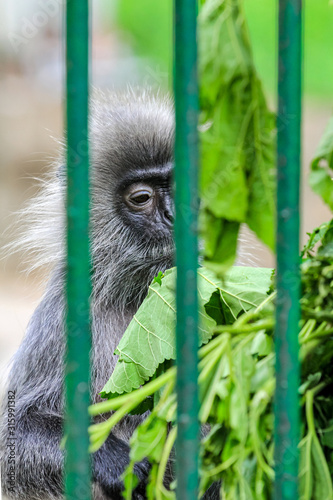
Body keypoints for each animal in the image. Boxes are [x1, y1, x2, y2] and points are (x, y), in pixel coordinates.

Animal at [0, 91, 220, 500]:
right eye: (142, 198)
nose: (175, 216)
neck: (142, 303)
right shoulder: (61, 316)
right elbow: (14, 438)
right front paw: (114, 460)